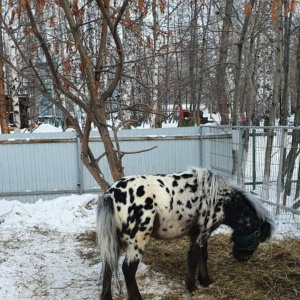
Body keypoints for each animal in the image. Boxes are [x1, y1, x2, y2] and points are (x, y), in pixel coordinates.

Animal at [97, 168, 276, 298]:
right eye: (258, 238)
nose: (242, 258)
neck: (219, 199)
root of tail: (111, 194)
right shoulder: (200, 234)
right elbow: (194, 258)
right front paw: (192, 287)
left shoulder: (202, 234)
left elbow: (203, 256)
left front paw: (206, 280)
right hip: (137, 243)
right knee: (128, 270)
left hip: (115, 242)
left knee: (108, 266)